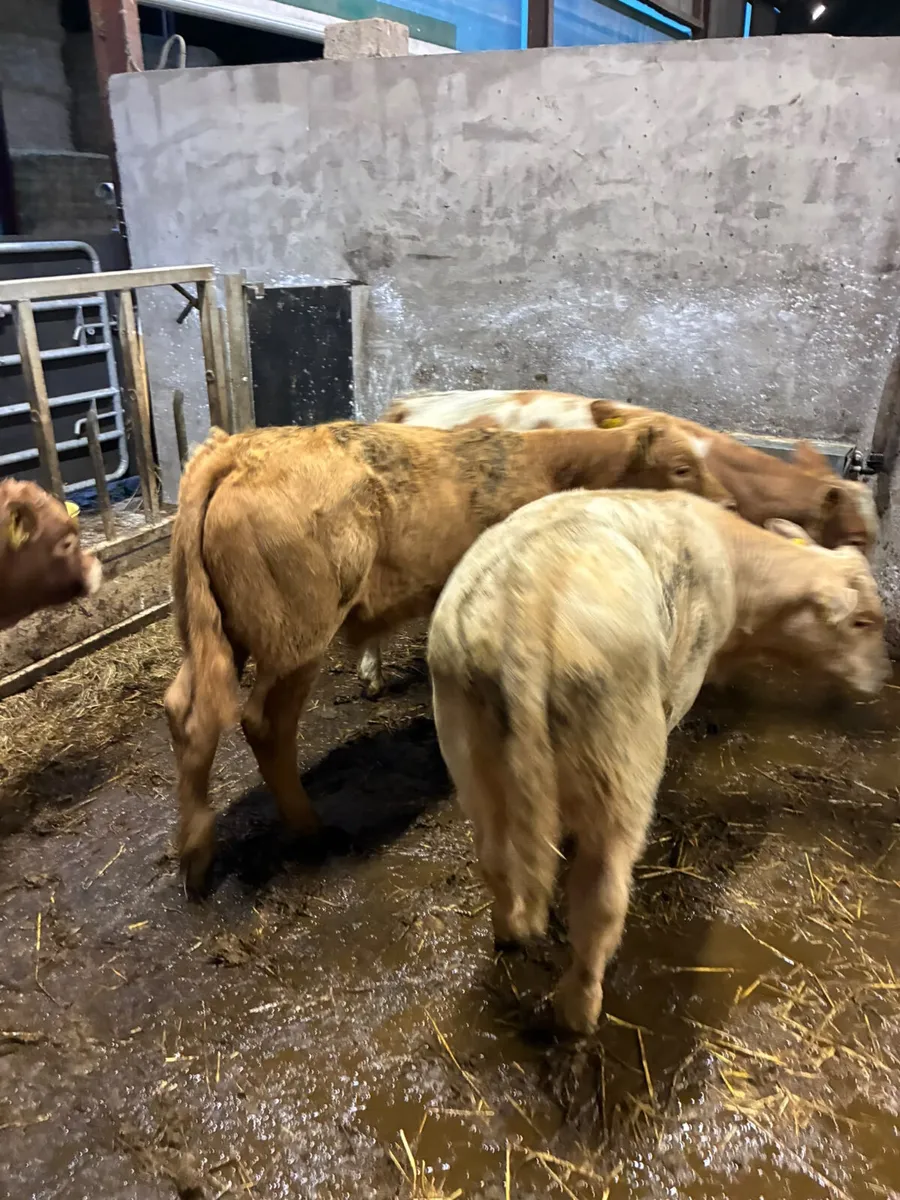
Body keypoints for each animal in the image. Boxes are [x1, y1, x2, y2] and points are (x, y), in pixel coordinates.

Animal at [164, 417, 731, 894]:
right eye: (682, 467)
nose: (726, 507)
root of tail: (238, 448)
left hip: (216, 631)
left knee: (187, 712)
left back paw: (196, 859)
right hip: (296, 637)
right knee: (265, 724)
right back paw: (311, 832)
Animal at [427, 489, 889, 1035]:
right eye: (862, 622)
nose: (882, 680)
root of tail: (528, 594)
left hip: (467, 753)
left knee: (494, 857)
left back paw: (508, 933)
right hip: (622, 767)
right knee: (600, 901)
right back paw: (581, 1009)